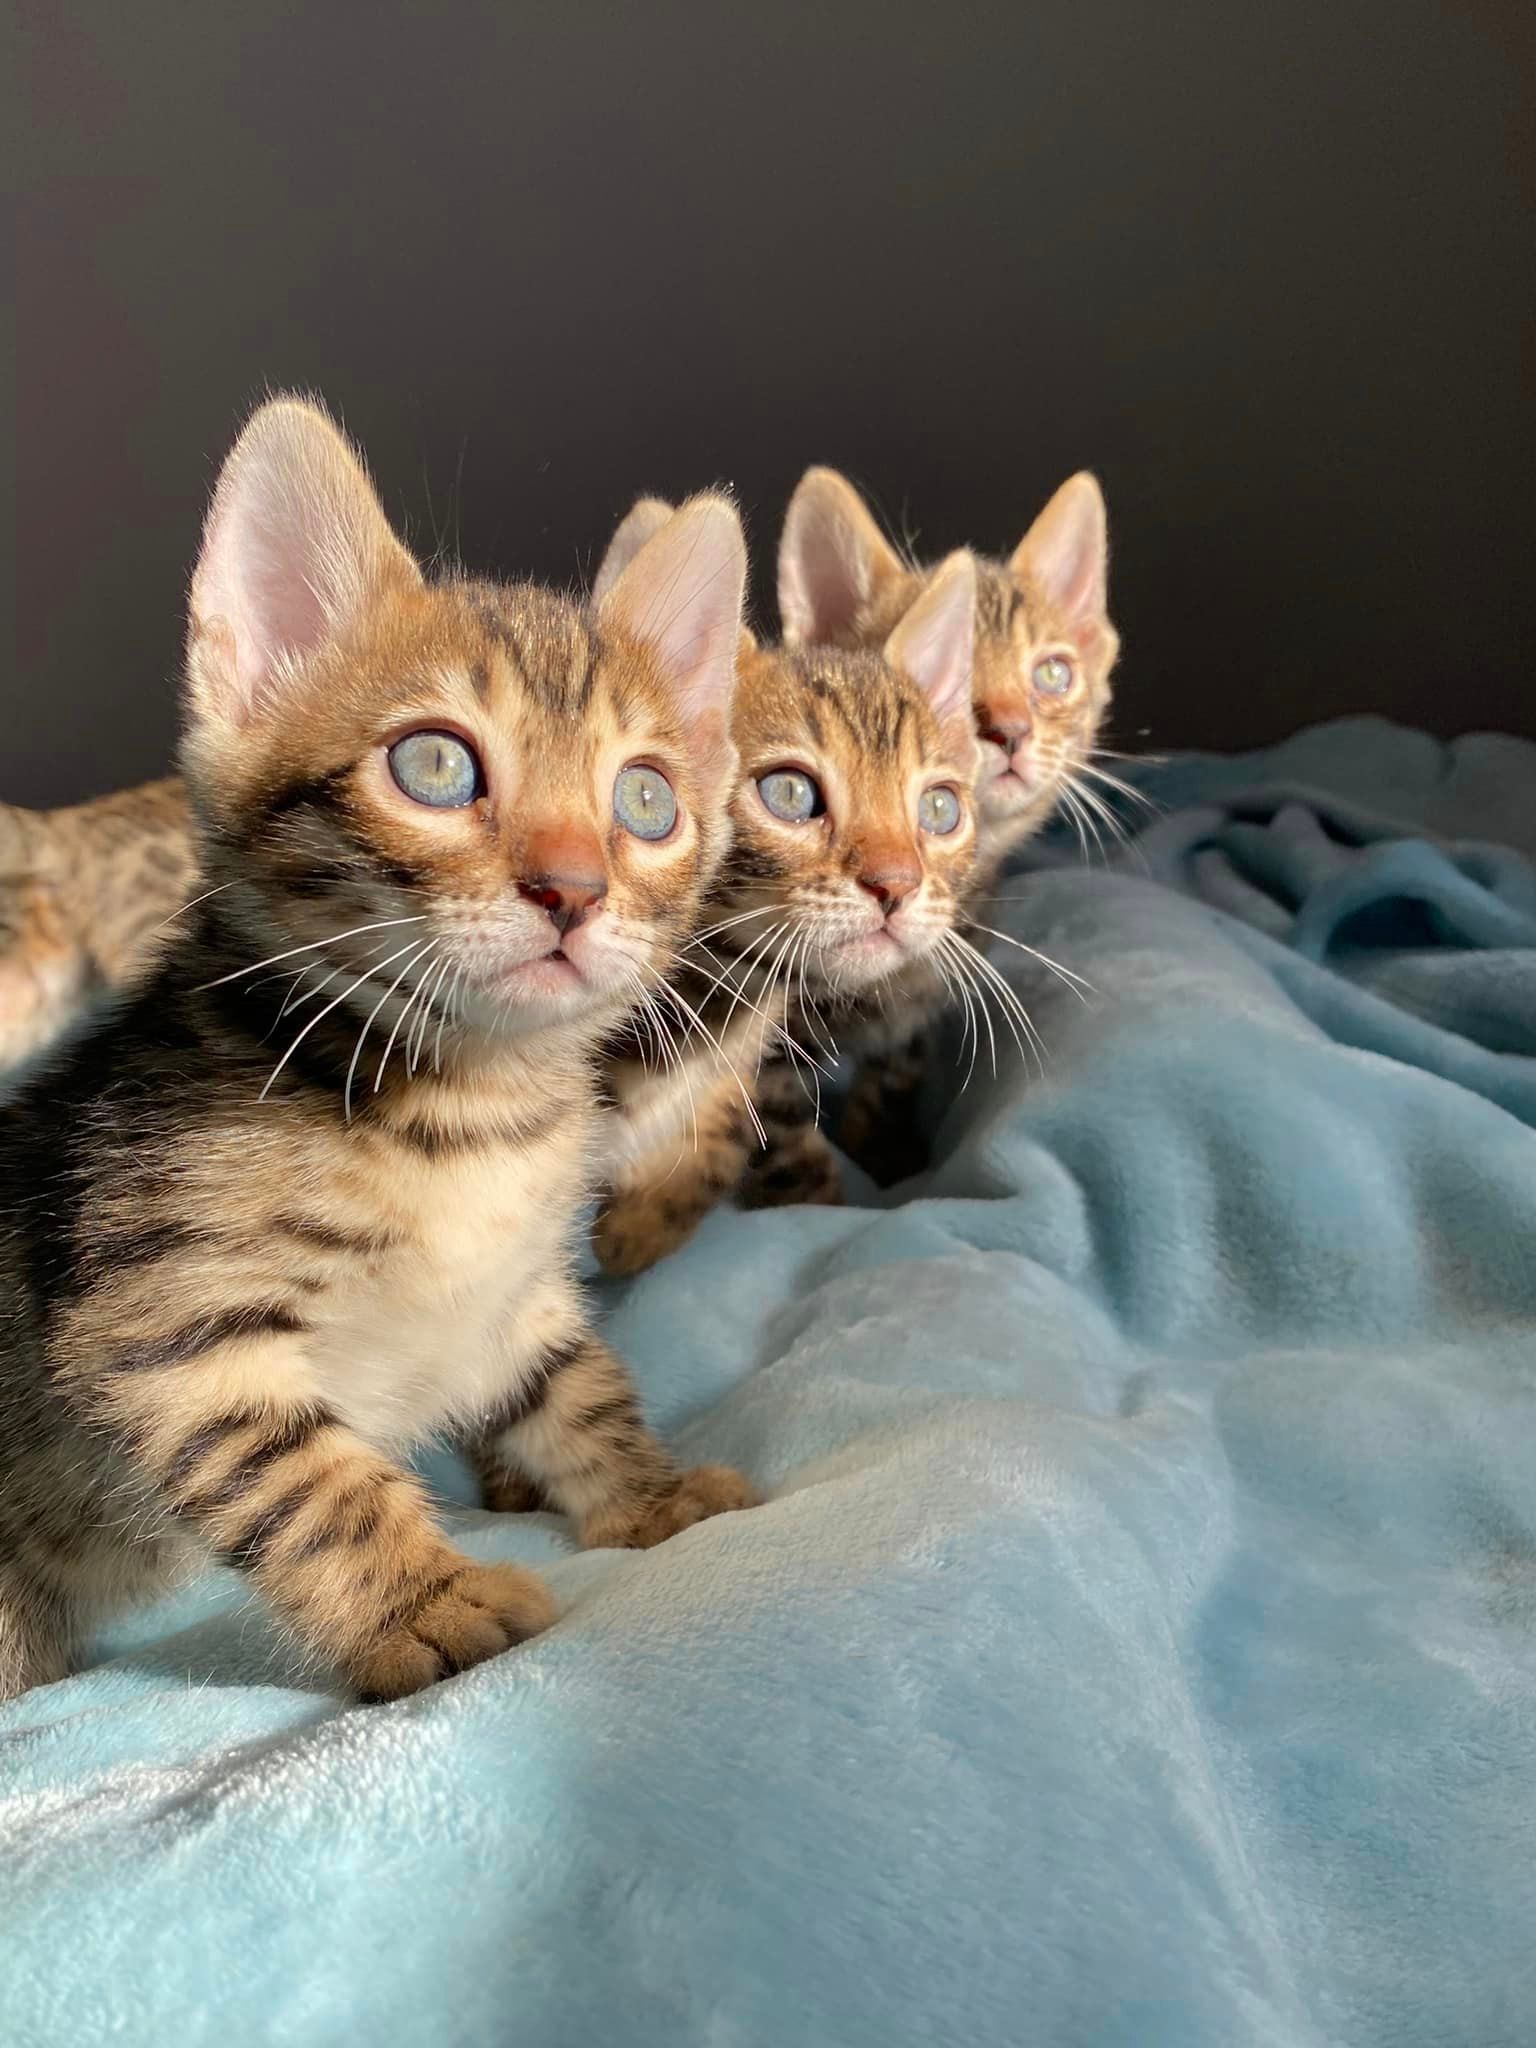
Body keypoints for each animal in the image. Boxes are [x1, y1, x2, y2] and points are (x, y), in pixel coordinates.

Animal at [774, 458, 1122, 1179]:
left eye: (1052, 674)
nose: (1010, 729)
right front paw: (811, 1183)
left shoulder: (917, 1013)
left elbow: (891, 1078)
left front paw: (880, 1151)